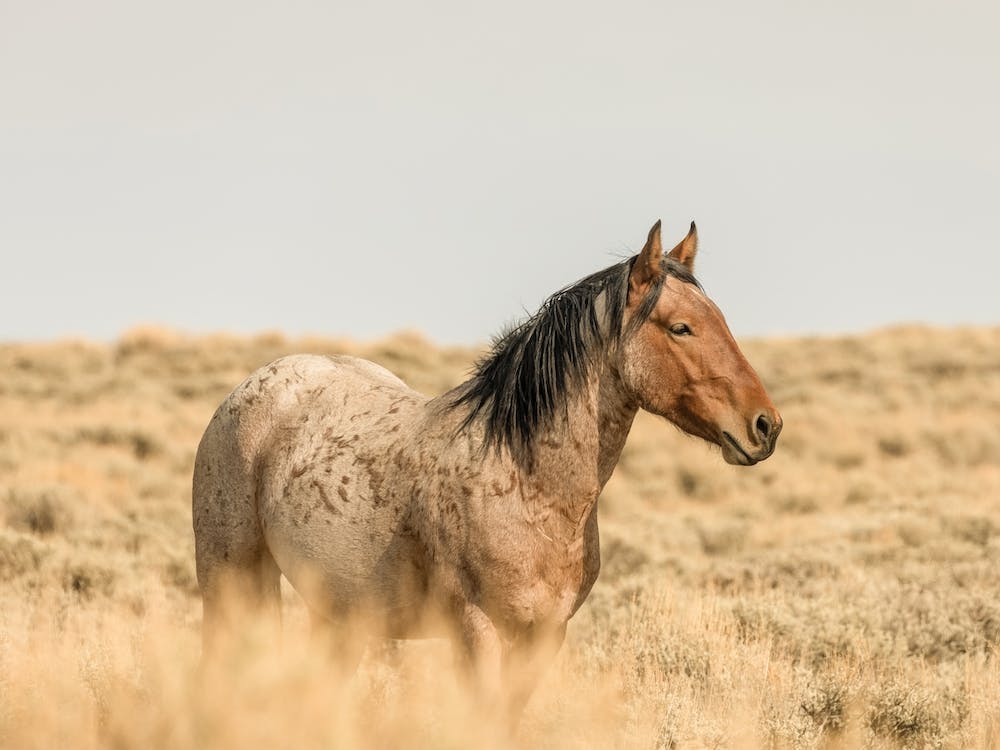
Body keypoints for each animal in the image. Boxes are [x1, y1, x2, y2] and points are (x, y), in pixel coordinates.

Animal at [192, 219, 781, 722]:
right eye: (681, 328)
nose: (766, 425)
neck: (528, 485)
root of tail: (253, 386)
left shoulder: (544, 636)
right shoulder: (478, 631)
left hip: (338, 613)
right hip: (232, 585)